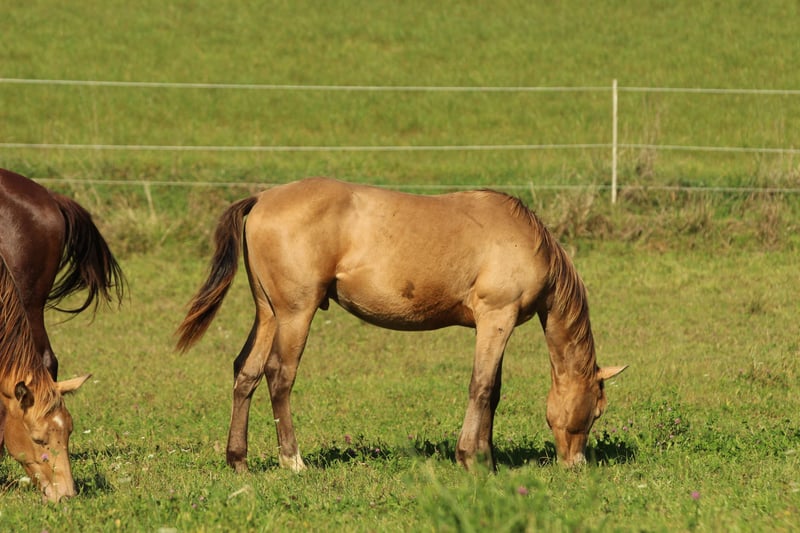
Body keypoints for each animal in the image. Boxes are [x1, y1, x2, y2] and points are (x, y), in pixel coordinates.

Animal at [176, 177, 626, 472]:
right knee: (278, 376)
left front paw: (488, 459)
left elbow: (493, 392)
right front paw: (469, 458)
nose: (576, 464)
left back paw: (238, 460)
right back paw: (293, 460)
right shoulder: (497, 318)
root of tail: (261, 198)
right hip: (295, 314)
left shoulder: (497, 325)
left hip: (268, 313)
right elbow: (480, 387)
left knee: (246, 373)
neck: (526, 240)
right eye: (596, 410)